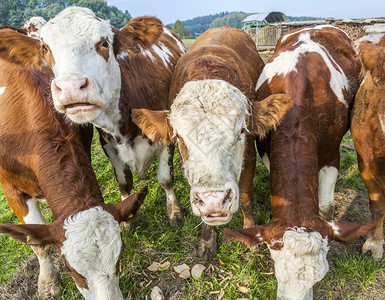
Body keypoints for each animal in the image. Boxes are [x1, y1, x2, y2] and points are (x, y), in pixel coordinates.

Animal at [0, 6, 185, 227]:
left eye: (104, 43)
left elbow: (166, 178)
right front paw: (126, 220)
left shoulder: (165, 135)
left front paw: (174, 212)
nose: (71, 87)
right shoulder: (109, 145)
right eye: (45, 48)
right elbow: (124, 183)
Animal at [129, 25, 292, 256]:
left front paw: (250, 231)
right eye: (179, 137)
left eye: (241, 131)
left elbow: (245, 197)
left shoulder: (249, 155)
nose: (214, 201)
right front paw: (207, 239)